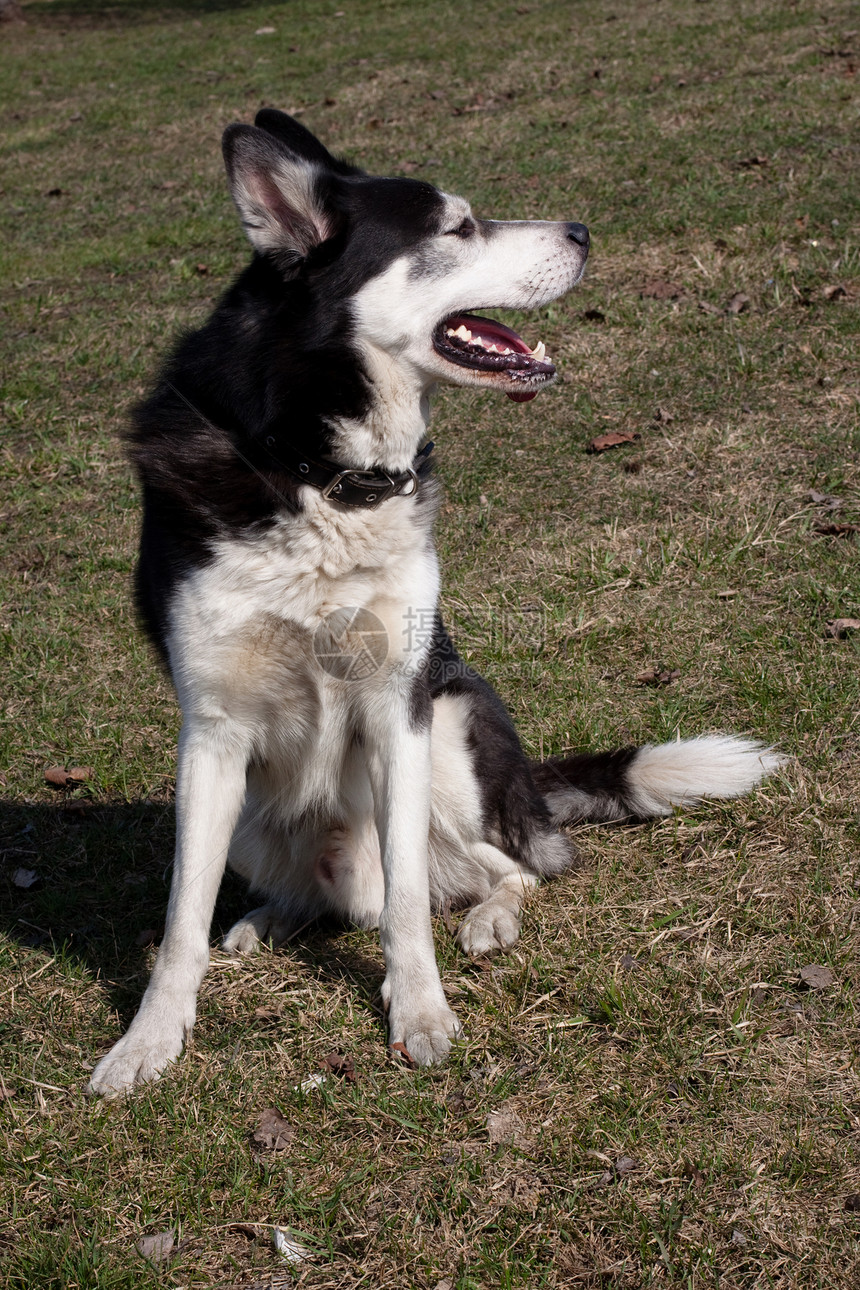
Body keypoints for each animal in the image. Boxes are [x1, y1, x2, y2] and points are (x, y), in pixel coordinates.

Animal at [88, 113, 778, 1099]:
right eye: (457, 227)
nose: (584, 232)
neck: (320, 471)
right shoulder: (212, 733)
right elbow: (184, 915)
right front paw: (149, 1040)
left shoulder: (399, 705)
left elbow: (412, 900)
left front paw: (419, 1012)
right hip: (256, 814)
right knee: (313, 892)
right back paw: (266, 922)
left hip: (451, 725)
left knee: (512, 866)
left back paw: (490, 917)